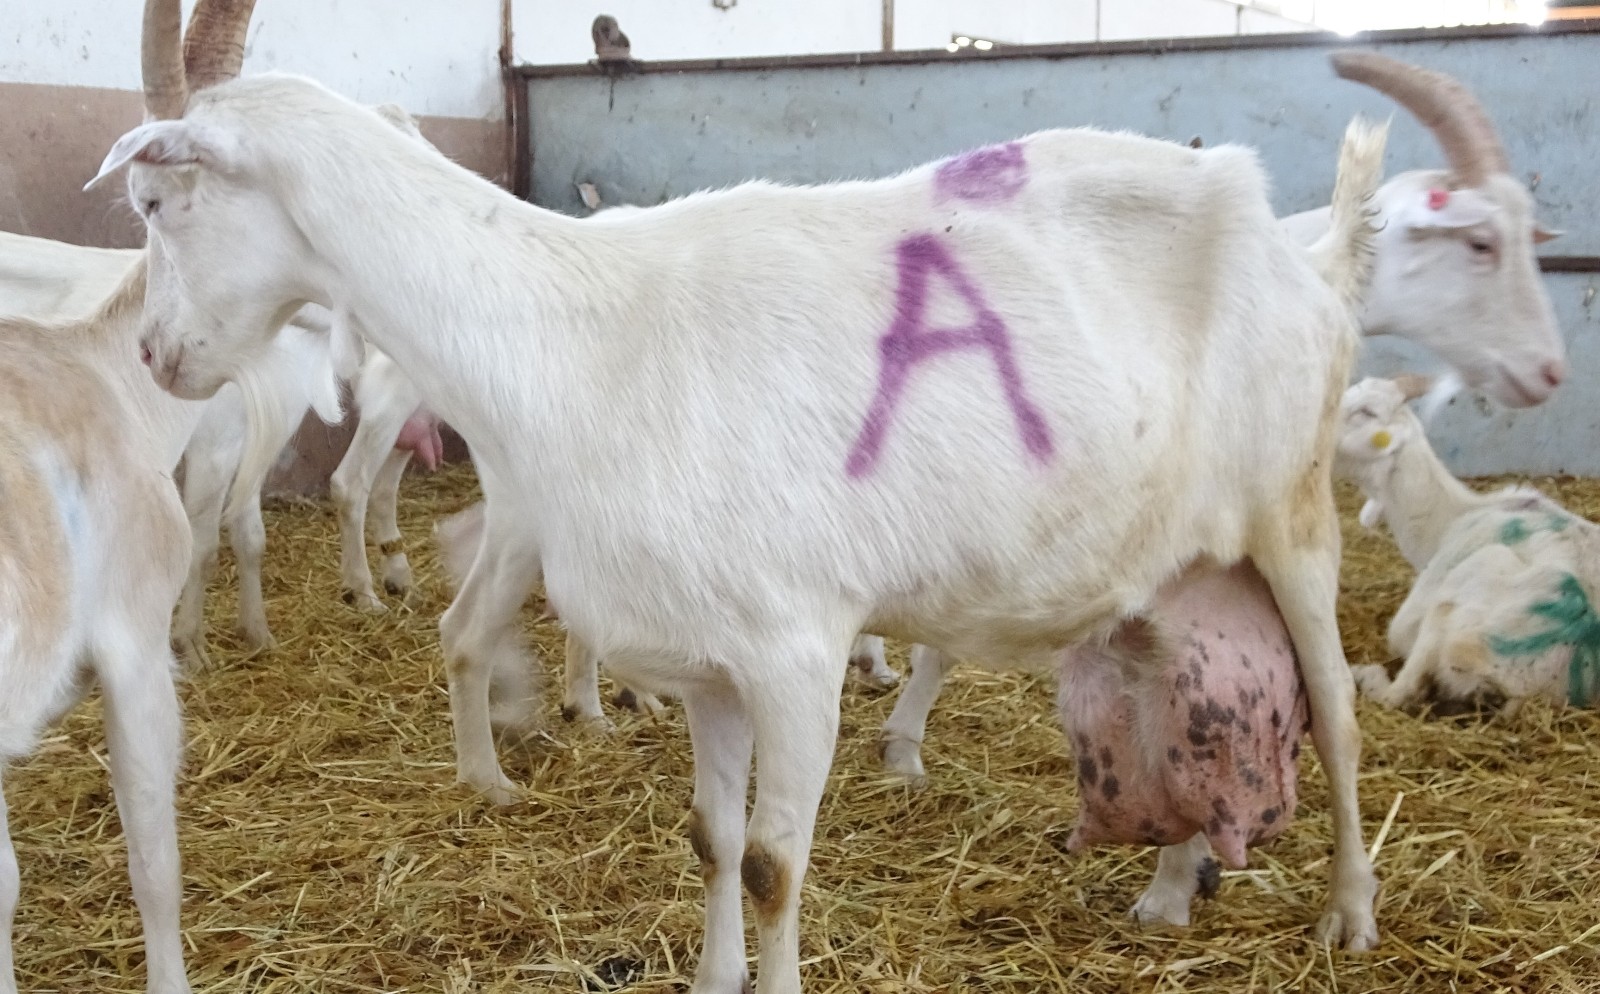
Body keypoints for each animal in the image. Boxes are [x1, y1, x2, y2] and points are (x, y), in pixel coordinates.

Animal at [103, 0, 1388, 985]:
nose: (155, 357)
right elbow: (712, 841)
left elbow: (773, 865)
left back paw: (1350, 912)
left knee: (1333, 713)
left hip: (1293, 515)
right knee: (1187, 704)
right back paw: (1170, 890)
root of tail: (1301, 254)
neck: (577, 333)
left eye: (158, 205)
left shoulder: (793, 646)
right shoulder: (708, 659)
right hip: (1170, 558)